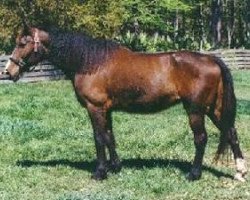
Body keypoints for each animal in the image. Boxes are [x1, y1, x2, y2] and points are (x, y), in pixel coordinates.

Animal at [2, 26, 247, 181]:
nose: (8, 71)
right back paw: (239, 172)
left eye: (22, 43)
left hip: (195, 110)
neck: (90, 62)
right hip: (215, 109)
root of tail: (211, 59)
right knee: (231, 132)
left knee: (201, 139)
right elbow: (110, 136)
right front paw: (115, 166)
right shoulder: (107, 109)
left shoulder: (95, 108)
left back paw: (194, 174)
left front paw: (100, 172)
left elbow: (99, 138)